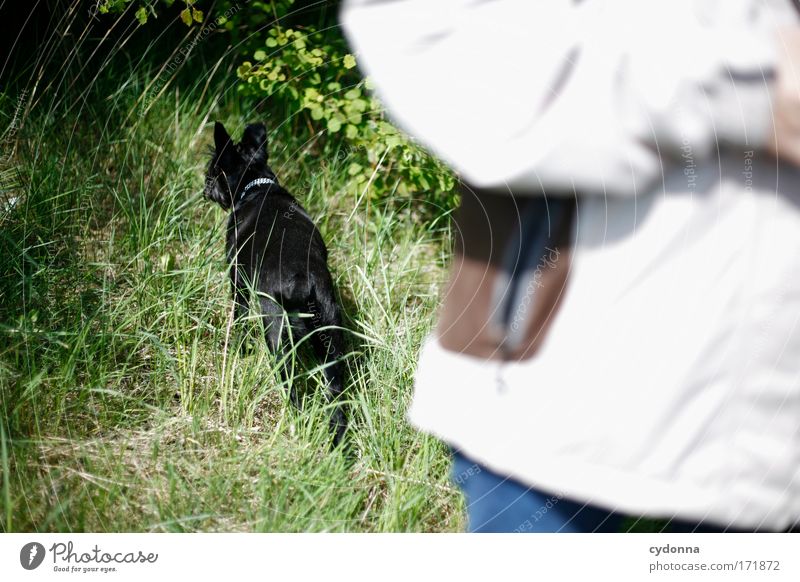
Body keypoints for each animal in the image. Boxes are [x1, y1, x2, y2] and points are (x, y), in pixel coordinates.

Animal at [205, 121, 346, 444]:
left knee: (291, 388)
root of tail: (305, 282)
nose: (205, 185)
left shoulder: (238, 283)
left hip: (276, 331)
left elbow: (239, 318)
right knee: (336, 398)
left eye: (213, 171)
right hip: (330, 335)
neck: (258, 187)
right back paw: (336, 442)